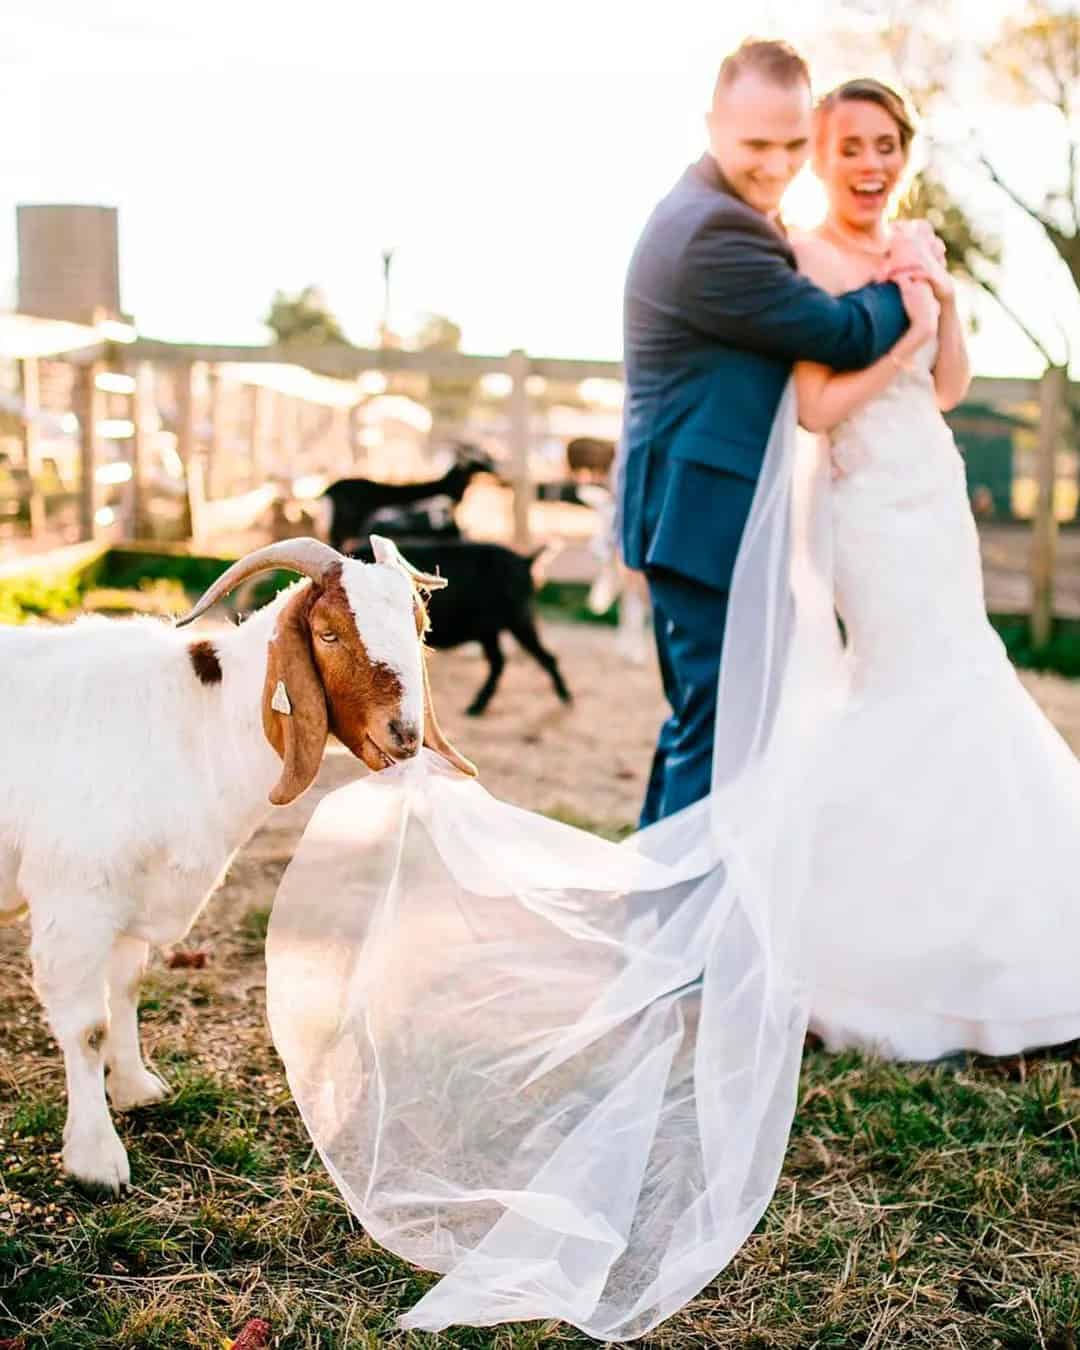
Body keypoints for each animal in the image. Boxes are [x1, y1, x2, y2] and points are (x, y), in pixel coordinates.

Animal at [0, 537, 472, 1193]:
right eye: (327, 633)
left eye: (420, 627)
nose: (404, 735)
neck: (193, 722)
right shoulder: (76, 898)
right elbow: (88, 1025)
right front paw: (96, 1159)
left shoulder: (134, 892)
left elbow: (126, 989)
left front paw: (135, 1088)